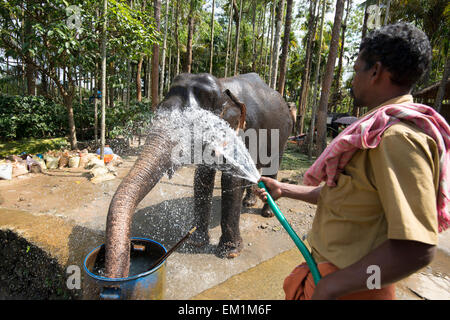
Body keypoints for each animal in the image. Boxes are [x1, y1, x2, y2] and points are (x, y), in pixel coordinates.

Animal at [106, 72, 296, 278]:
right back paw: (248, 203)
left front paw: (229, 253)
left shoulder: (243, 131)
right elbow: (202, 176)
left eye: (189, 127)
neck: (222, 87)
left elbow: (232, 180)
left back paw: (267, 213)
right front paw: (196, 241)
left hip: (283, 136)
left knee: (272, 167)